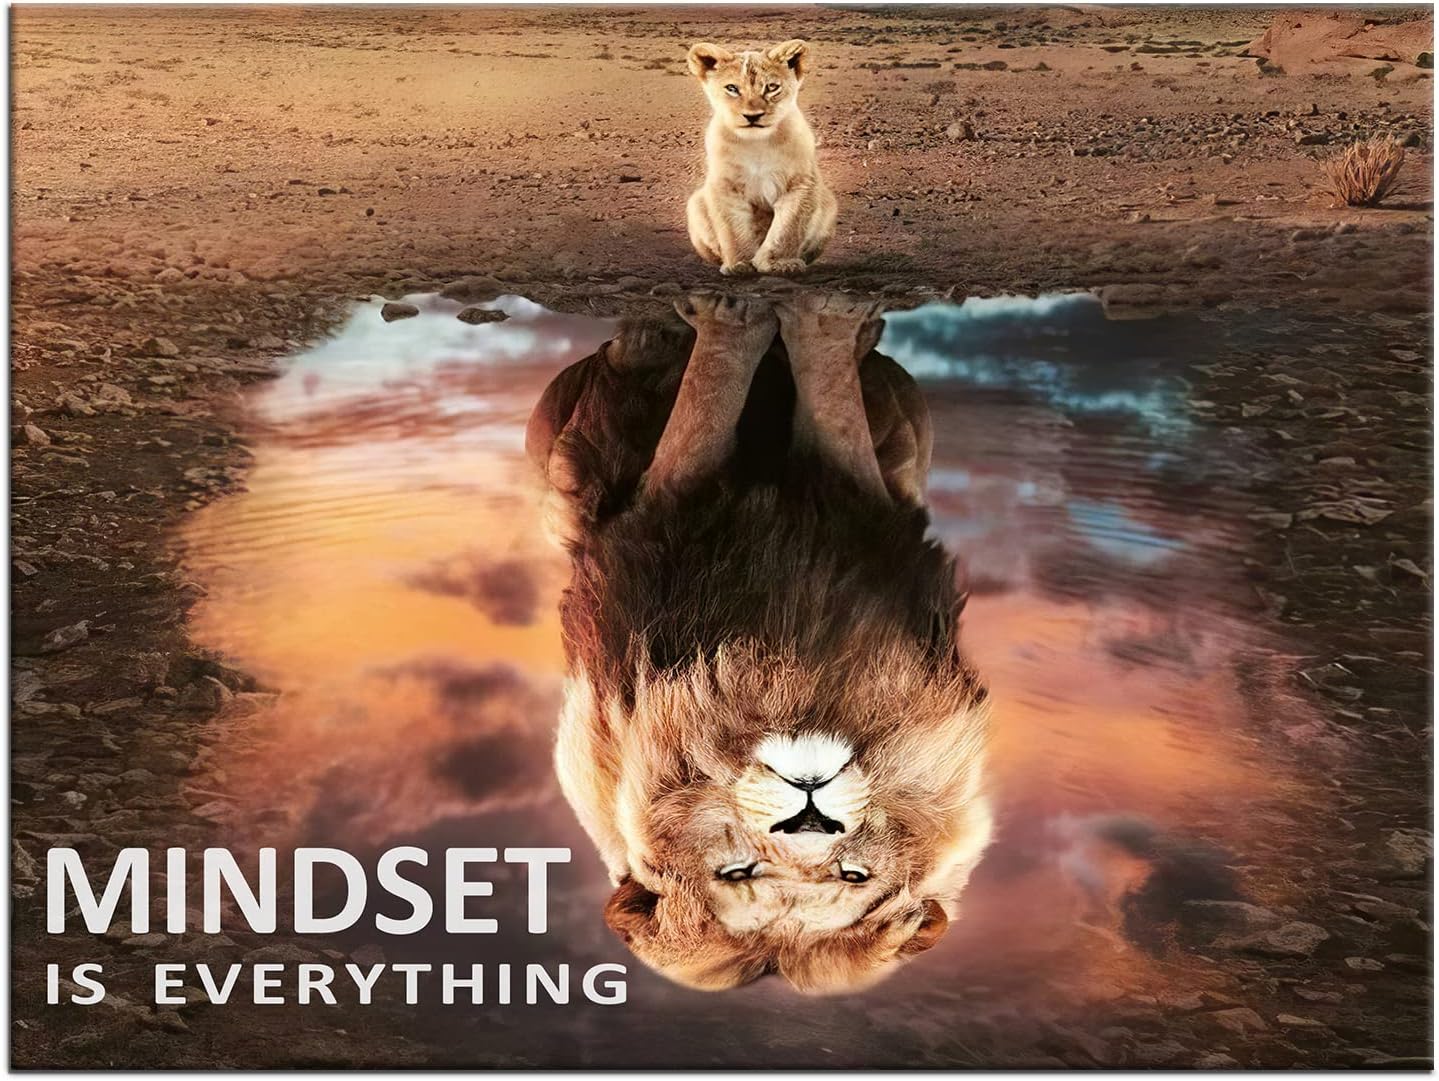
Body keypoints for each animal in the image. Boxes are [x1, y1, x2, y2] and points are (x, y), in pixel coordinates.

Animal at [525, 292, 992, 994]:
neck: (787, 684)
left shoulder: (873, 512)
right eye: (737, 872)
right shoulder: (662, 511)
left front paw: (815, 322)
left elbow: (828, 410)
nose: (810, 810)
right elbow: (711, 401)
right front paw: (737, 318)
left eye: (852, 874)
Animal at [685, 39, 837, 276]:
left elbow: (787, 228)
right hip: (695, 203)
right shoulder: (725, 186)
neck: (757, 144)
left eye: (772, 87)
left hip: (829, 203)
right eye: (732, 88)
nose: (753, 116)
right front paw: (740, 264)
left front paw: (779, 263)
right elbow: (733, 229)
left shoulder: (800, 183)